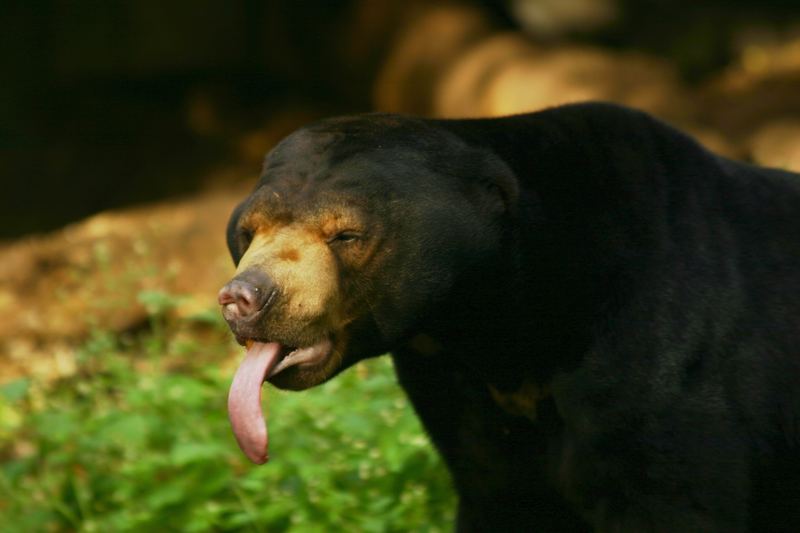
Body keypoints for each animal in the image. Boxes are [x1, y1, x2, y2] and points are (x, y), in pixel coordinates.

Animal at [217, 102, 800, 528]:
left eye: (346, 235)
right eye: (248, 230)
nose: (243, 298)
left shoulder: (663, 368)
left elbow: (677, 494)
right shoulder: (460, 398)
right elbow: (502, 495)